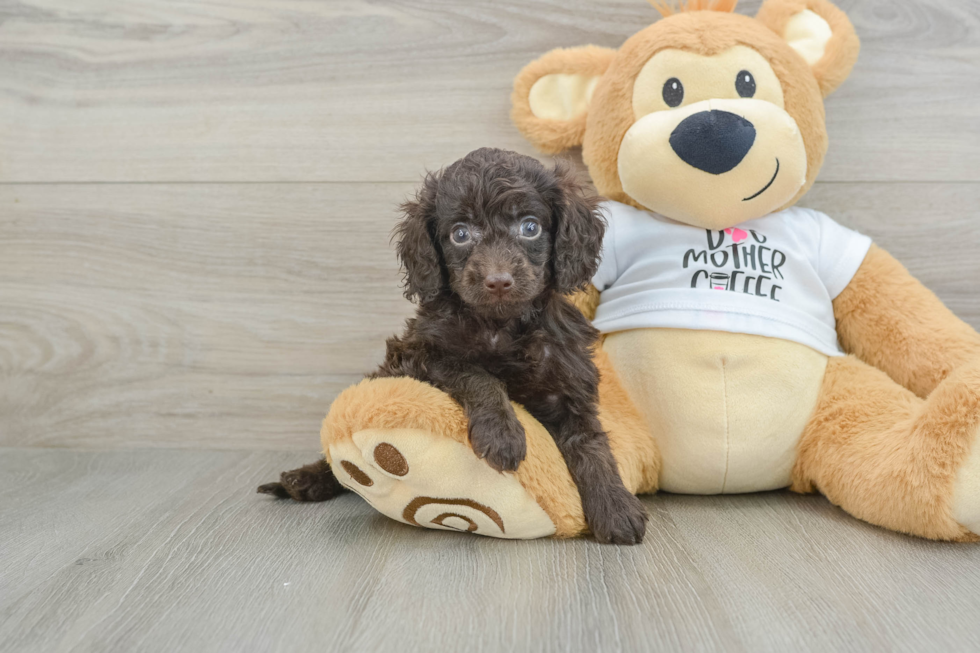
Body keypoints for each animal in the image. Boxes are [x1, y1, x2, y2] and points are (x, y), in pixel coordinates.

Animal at [258, 149, 652, 544]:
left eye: (530, 227)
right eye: (460, 234)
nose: (498, 281)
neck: (500, 325)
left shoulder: (568, 383)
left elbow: (591, 443)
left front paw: (615, 507)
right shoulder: (419, 354)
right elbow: (477, 374)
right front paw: (502, 435)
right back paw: (304, 479)